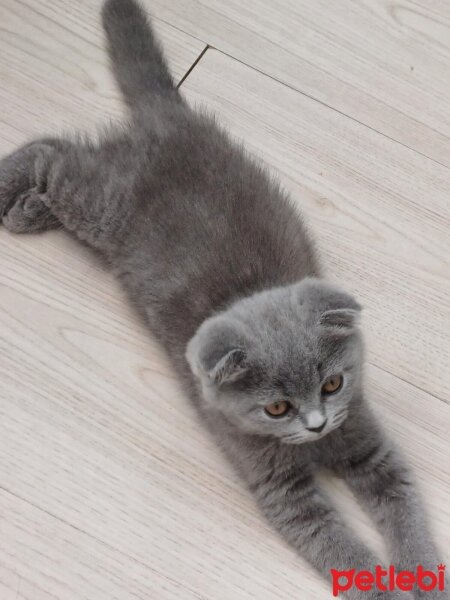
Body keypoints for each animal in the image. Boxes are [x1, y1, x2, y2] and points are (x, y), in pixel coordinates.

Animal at [0, 2, 444, 596]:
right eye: (276, 407)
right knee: (51, 153)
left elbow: (405, 509)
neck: (315, 448)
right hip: (106, 205)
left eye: (333, 384)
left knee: (60, 159)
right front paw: (382, 585)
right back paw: (11, 198)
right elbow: (340, 548)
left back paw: (26, 210)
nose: (317, 423)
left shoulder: (369, 444)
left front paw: (425, 577)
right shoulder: (281, 491)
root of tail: (171, 115)